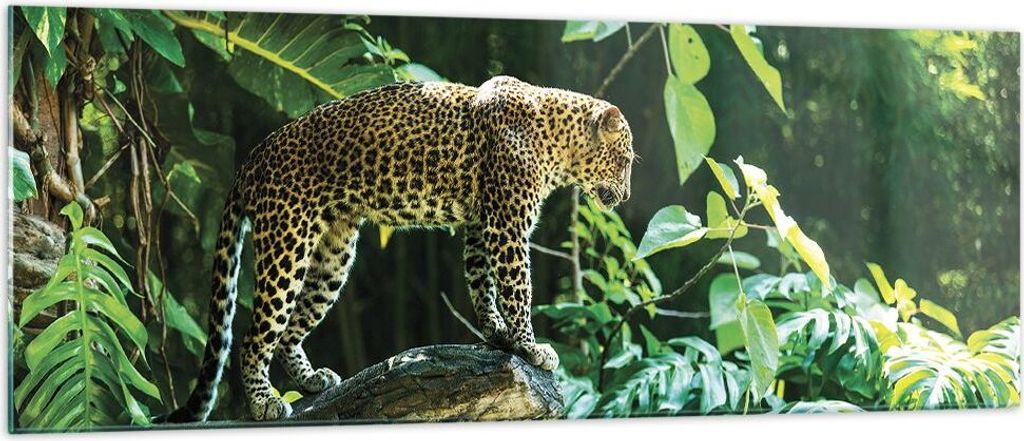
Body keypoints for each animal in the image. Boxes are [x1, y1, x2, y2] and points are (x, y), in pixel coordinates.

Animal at [164, 75, 635, 422]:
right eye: (626, 160)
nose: (628, 196)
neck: (557, 140)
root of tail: (252, 158)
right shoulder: (507, 227)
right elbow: (518, 288)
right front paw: (530, 347)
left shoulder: (481, 225)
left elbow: (482, 282)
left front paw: (497, 334)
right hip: (287, 243)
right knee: (254, 335)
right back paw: (264, 402)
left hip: (333, 255)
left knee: (291, 329)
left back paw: (312, 380)